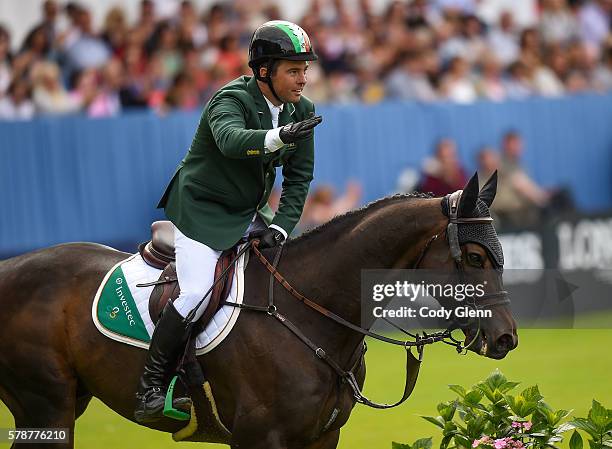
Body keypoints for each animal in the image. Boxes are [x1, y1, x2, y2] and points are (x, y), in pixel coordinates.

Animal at [0, 172, 516, 448]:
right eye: (475, 258)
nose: (507, 338)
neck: (308, 315)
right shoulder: (260, 437)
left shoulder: (320, 438)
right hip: (46, 406)